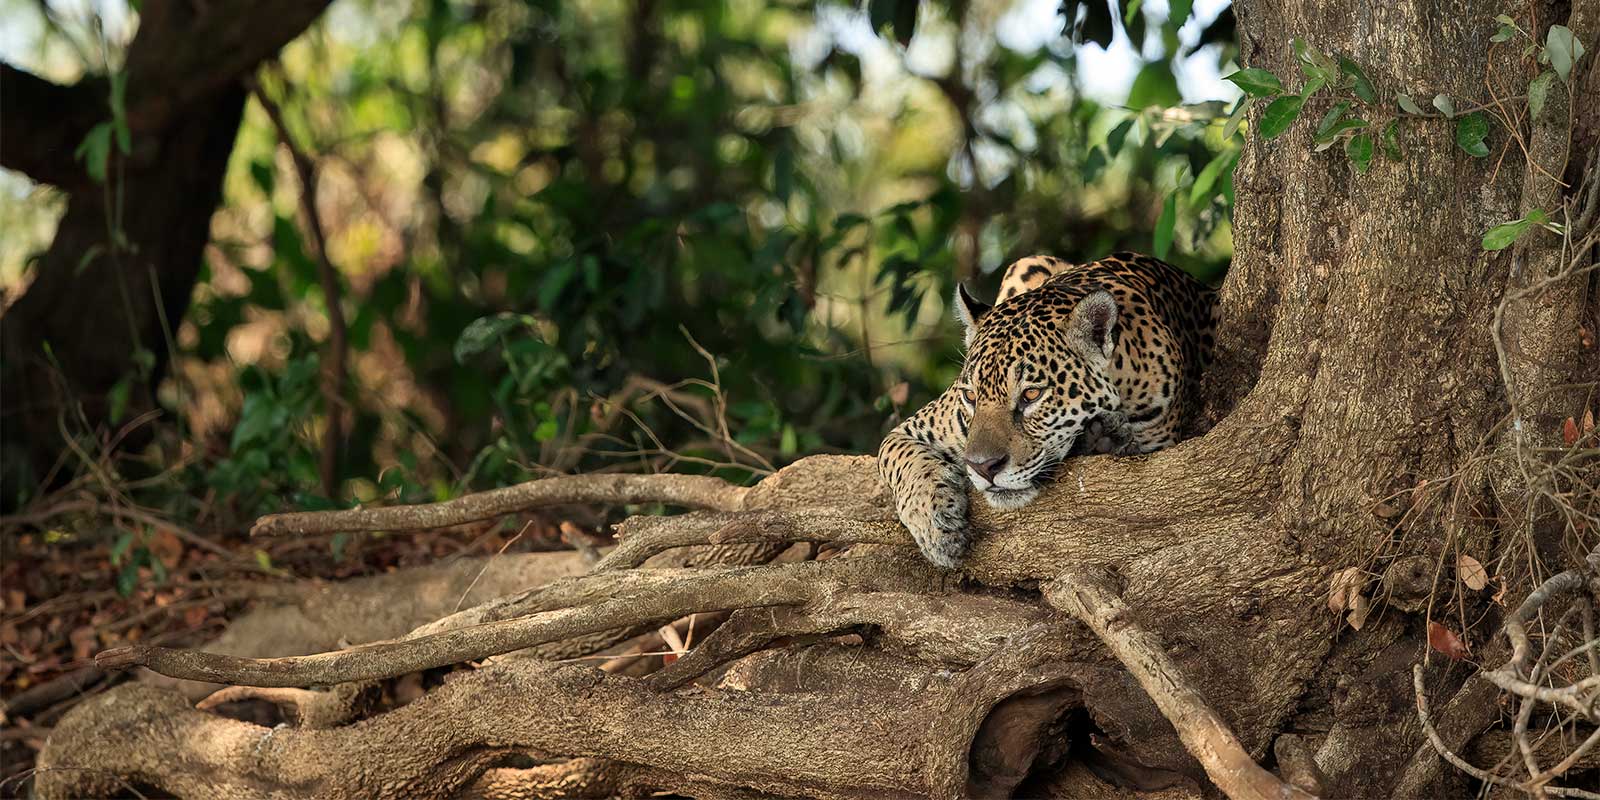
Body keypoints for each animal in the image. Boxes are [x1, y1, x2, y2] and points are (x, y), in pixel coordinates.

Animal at [877, 251, 1219, 568]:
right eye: (971, 396)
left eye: (1031, 394)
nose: (983, 467)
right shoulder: (910, 429)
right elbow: (900, 460)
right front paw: (935, 528)